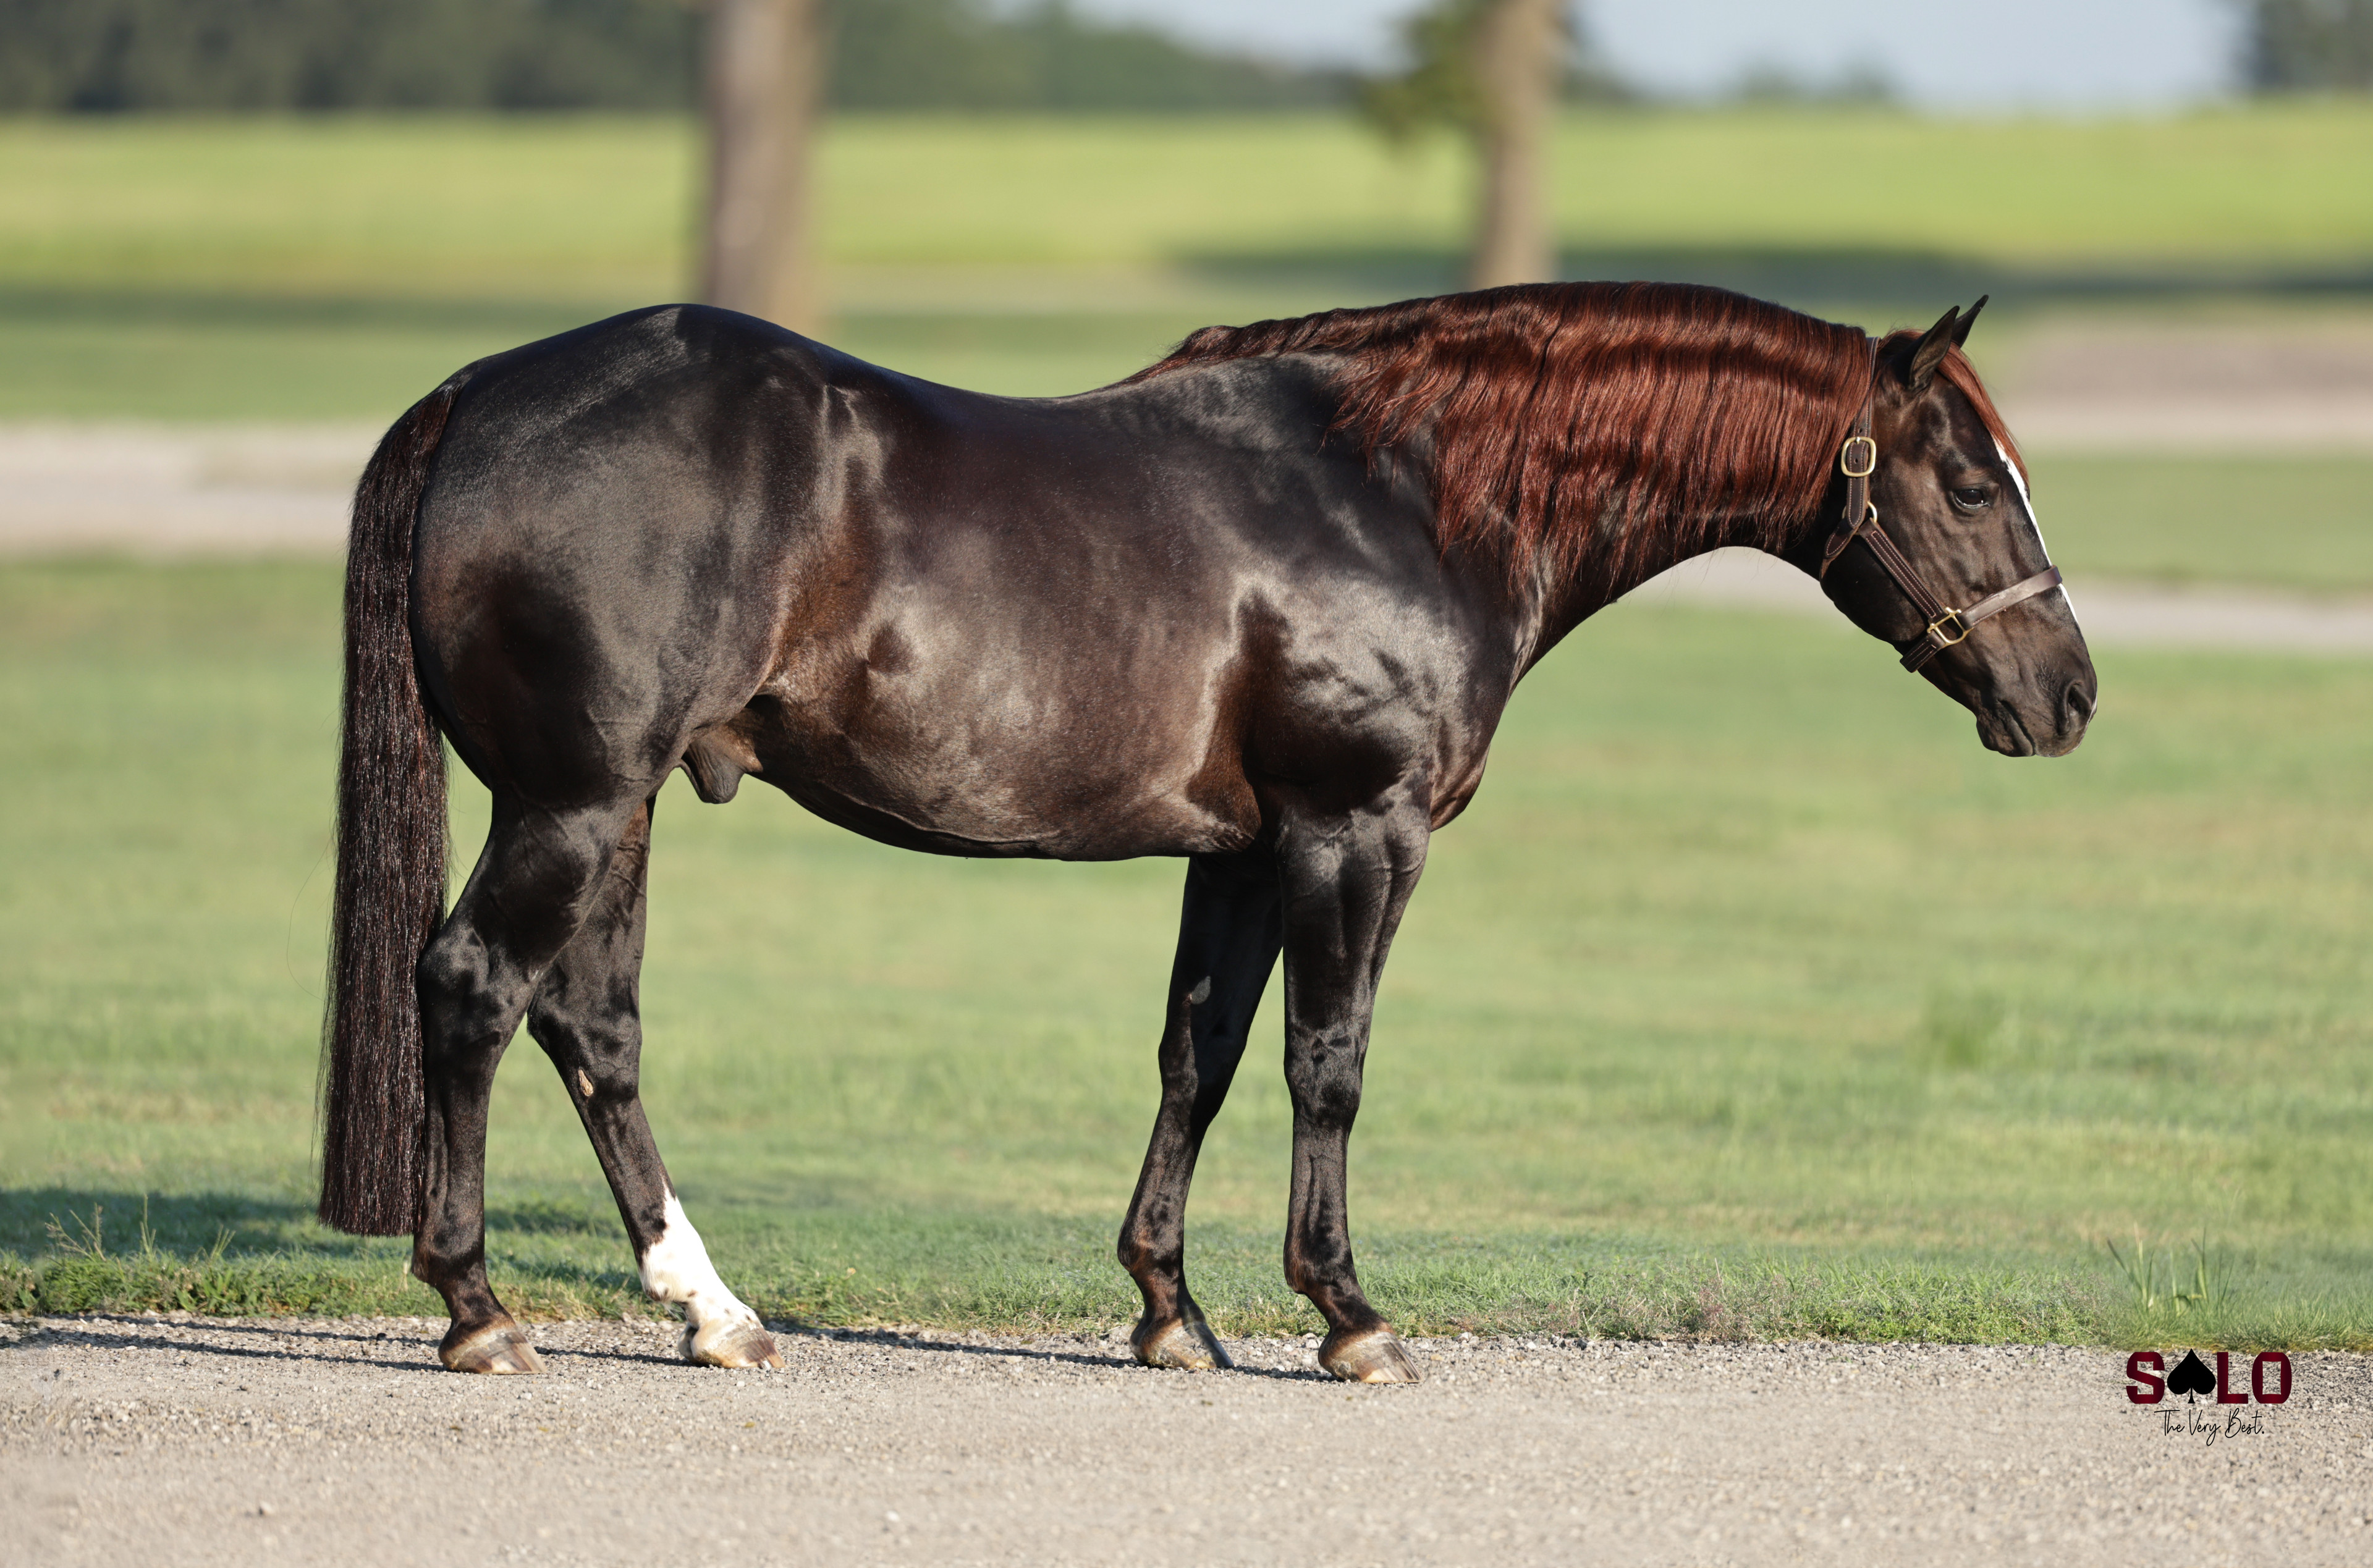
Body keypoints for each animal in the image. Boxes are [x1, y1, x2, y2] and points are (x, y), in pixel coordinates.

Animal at [316, 281, 2094, 1381]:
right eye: (1969, 484)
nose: (2069, 694)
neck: (1405, 491)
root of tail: (479, 395)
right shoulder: (1355, 833)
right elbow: (1329, 1065)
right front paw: (1350, 1313)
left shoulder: (1238, 853)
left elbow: (1201, 1054)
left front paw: (1169, 1307)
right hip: (574, 799)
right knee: (475, 989)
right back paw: (477, 1308)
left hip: (612, 806)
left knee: (592, 1026)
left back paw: (713, 1309)